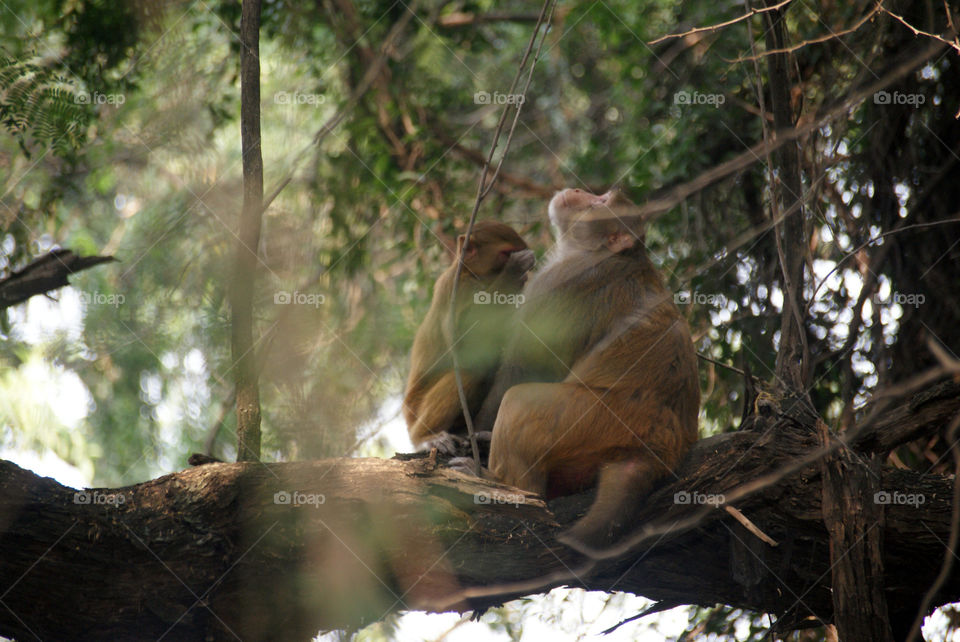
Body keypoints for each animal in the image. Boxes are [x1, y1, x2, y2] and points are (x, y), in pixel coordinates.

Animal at [403, 220, 535, 456]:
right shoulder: (459, 289)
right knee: (470, 372)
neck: (472, 274)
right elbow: (464, 348)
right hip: (416, 409)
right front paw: (513, 271)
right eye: (507, 254)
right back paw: (425, 437)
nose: (525, 276)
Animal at [479, 188, 700, 552]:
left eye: (601, 203)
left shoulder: (565, 281)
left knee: (518, 402)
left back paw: (505, 488)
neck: (594, 252)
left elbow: (526, 367)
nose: (579, 191)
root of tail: (663, 448)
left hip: (595, 421)